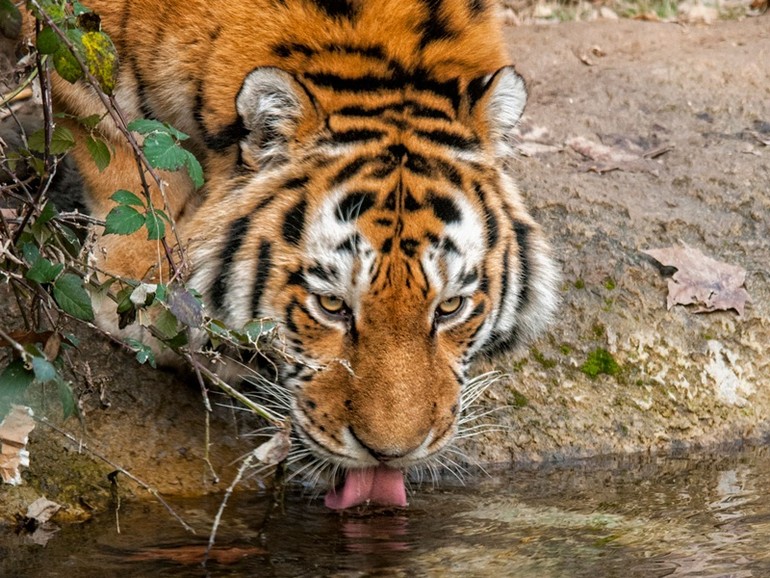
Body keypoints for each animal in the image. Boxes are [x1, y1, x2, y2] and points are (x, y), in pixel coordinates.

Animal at [39, 0, 556, 504]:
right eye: (330, 305)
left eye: (450, 308)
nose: (389, 454)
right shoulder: (78, 51)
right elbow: (123, 144)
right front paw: (143, 293)